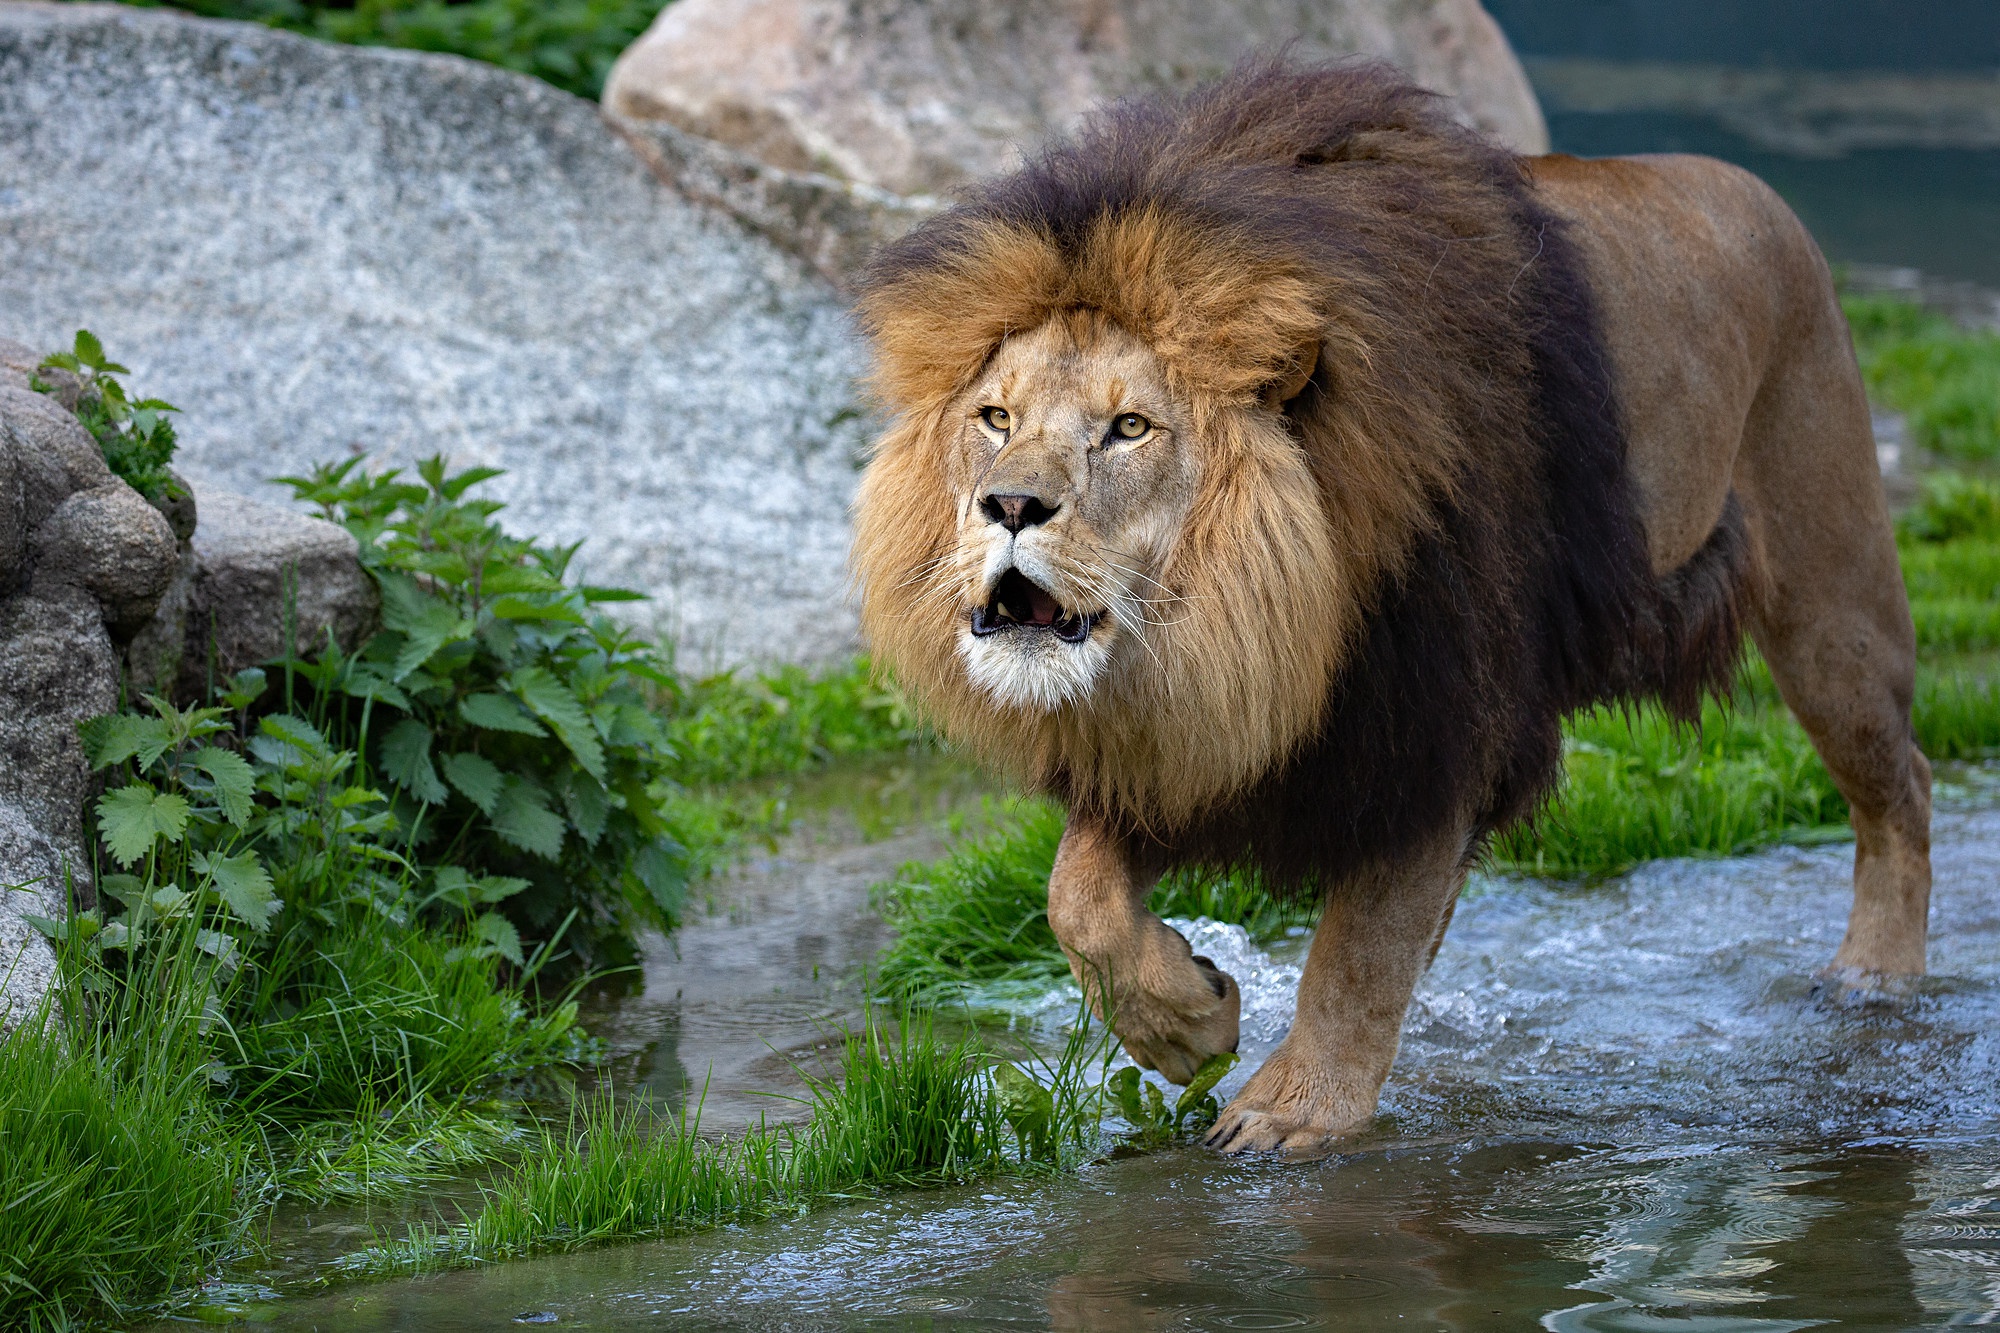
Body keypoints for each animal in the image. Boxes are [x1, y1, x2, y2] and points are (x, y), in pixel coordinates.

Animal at [849, 62, 1933, 1153]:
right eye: (995, 418)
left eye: (1128, 428)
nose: (1008, 505)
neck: (1260, 616)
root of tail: (1751, 188)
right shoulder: (1197, 725)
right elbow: (1075, 895)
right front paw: (1188, 1024)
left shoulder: (1437, 726)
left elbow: (1358, 948)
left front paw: (1291, 1112)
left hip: (1832, 601)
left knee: (1901, 783)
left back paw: (1874, 979)